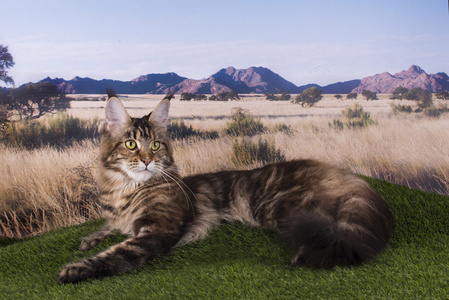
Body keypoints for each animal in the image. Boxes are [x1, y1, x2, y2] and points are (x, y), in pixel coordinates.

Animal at [57, 92, 392, 284]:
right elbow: (108, 228)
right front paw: (90, 239)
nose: (148, 161)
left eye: (155, 145)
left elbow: (116, 253)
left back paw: (304, 256)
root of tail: (340, 173)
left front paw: (76, 268)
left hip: (283, 209)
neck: (125, 190)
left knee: (335, 230)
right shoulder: (120, 218)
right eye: (130, 144)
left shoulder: (156, 230)